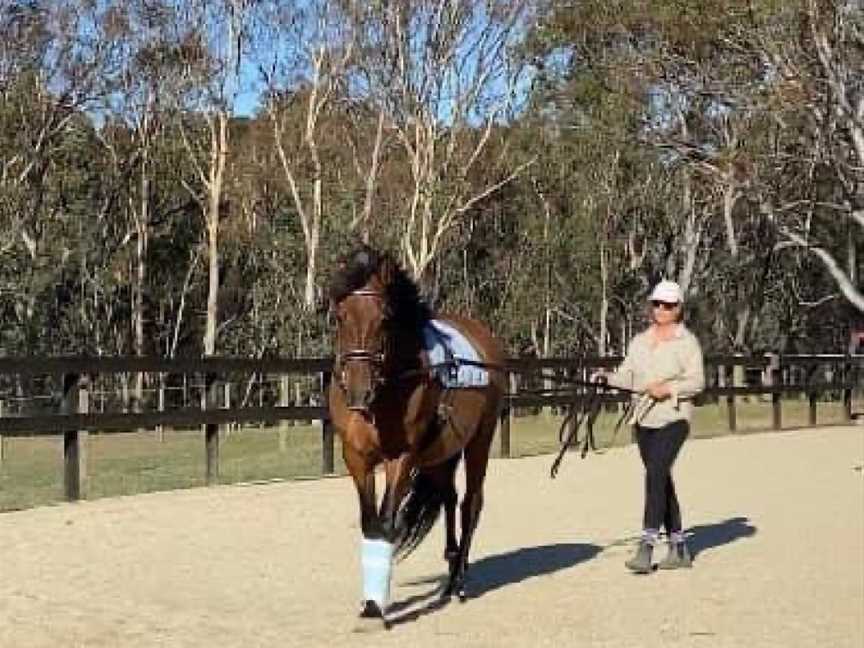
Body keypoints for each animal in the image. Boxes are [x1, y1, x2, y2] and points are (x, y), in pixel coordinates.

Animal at [330, 244, 506, 624]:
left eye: (384, 318)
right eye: (339, 316)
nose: (359, 392)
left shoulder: (401, 458)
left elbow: (385, 522)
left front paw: (376, 605)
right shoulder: (356, 458)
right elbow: (370, 524)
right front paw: (369, 602)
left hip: (479, 442)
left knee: (471, 504)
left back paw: (460, 584)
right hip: (443, 453)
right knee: (450, 499)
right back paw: (450, 574)